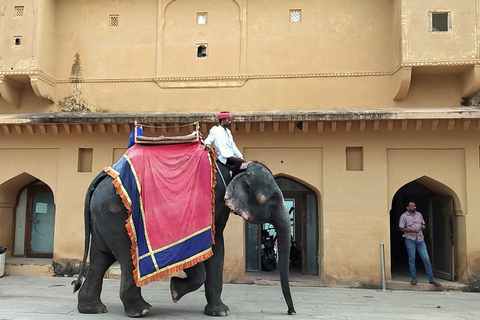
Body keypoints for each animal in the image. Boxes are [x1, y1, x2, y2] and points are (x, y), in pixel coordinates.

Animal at [71, 160, 296, 318]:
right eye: (274, 198)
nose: (291, 312)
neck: (234, 169)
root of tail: (99, 178)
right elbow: (196, 250)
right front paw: (174, 291)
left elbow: (217, 248)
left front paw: (220, 312)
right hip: (116, 215)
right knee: (126, 257)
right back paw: (141, 311)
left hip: (103, 217)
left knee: (101, 258)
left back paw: (93, 309)